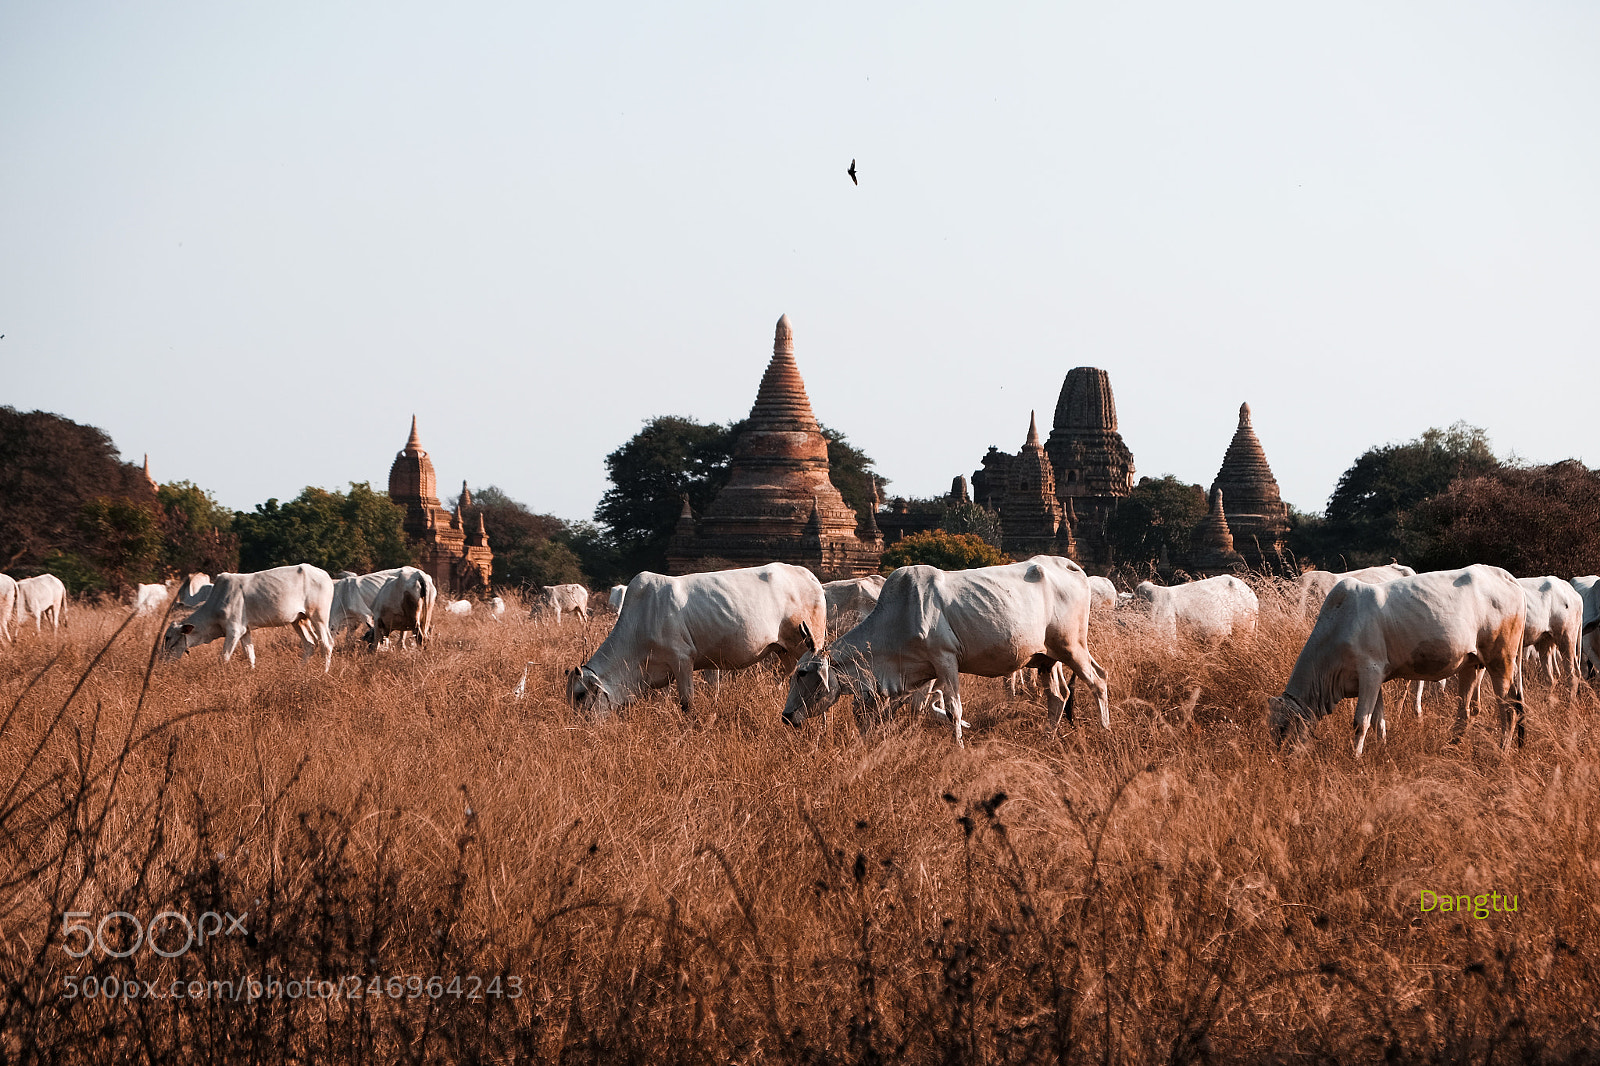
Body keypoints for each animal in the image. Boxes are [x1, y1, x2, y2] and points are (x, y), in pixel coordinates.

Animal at [161, 564, 336, 671]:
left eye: (168, 637)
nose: (162, 661)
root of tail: (326, 575)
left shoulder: (234, 631)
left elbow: (224, 657)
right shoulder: (245, 631)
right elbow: (249, 655)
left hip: (318, 617)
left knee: (326, 643)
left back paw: (324, 672)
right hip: (299, 620)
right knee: (310, 643)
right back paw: (299, 670)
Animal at [567, 563, 826, 718]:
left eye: (580, 695)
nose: (582, 730)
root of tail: (809, 576)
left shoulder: (682, 660)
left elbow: (687, 704)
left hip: (809, 645)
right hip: (784, 651)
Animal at [783, 556, 1110, 745]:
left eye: (802, 673)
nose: (786, 717)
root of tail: (1071, 567)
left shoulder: (945, 660)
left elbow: (954, 709)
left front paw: (960, 745)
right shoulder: (923, 673)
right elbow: (914, 708)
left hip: (1072, 647)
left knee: (1099, 681)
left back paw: (1105, 732)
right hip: (1047, 659)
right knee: (1059, 695)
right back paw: (1047, 739)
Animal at [1269, 564, 1527, 755]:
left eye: (1282, 729)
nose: (1278, 759)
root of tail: (1507, 577)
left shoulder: (1370, 672)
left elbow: (1361, 722)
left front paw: (1355, 757)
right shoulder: (1375, 679)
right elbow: (1378, 720)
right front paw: (1381, 749)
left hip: (1501, 660)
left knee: (1509, 709)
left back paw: (1501, 753)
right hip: (1472, 663)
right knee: (1467, 710)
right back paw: (1450, 748)